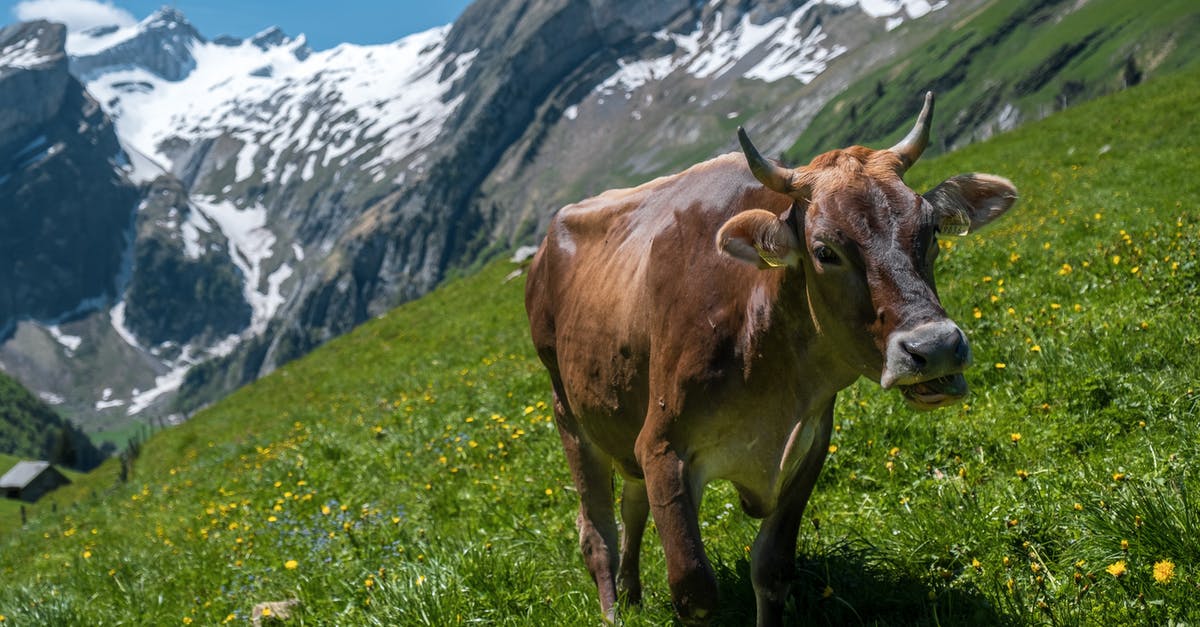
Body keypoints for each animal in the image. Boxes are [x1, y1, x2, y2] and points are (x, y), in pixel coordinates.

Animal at [525, 93, 1012, 624]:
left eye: (931, 233)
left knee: (631, 507)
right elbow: (694, 590)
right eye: (825, 250)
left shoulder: (809, 444)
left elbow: (772, 568)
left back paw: (633, 594)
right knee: (597, 533)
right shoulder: (662, 448)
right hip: (568, 413)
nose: (936, 347)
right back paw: (614, 608)